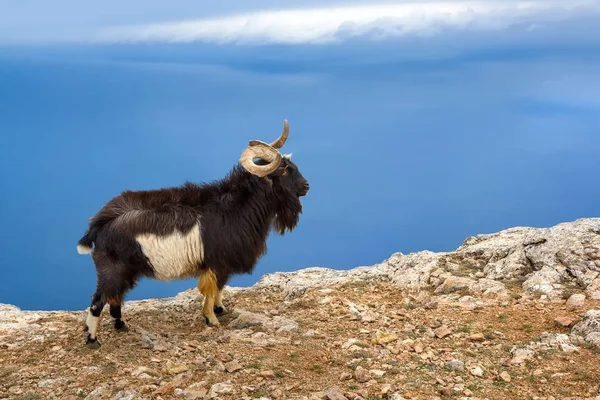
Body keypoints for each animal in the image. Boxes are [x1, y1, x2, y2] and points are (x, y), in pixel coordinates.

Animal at [75, 120, 310, 348]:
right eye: (283, 170)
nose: (307, 186)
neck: (234, 207)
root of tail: (99, 224)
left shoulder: (220, 264)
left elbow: (219, 289)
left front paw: (220, 310)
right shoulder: (217, 263)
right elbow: (211, 289)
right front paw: (211, 319)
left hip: (124, 271)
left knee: (115, 296)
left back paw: (121, 325)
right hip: (112, 269)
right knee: (98, 301)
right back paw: (93, 340)